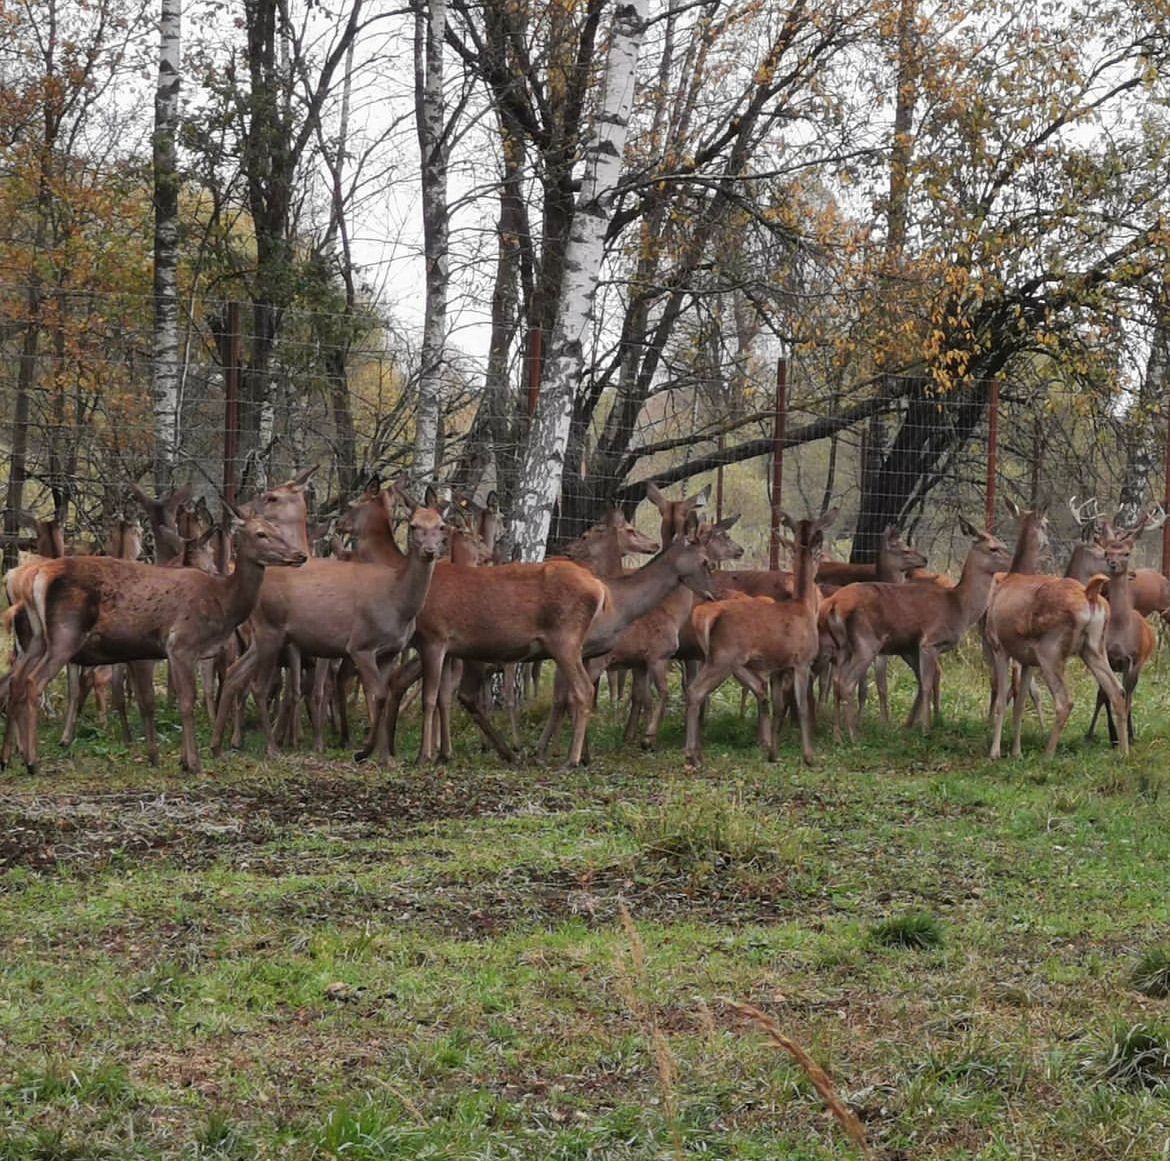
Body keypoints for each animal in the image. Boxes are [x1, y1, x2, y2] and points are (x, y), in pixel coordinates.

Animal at [0, 505, 306, 772]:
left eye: (277, 529)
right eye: (260, 534)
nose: (299, 555)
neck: (223, 603)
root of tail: (34, 577)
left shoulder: (158, 652)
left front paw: (179, 759)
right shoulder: (182, 644)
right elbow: (186, 701)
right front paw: (193, 764)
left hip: (37, 640)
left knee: (15, 681)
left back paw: (12, 757)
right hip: (66, 633)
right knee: (33, 682)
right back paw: (32, 761)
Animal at [208, 479, 449, 763]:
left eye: (442, 526)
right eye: (413, 526)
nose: (429, 551)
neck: (398, 603)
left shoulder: (390, 651)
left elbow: (385, 695)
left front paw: (385, 757)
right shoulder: (360, 645)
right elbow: (377, 694)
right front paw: (365, 752)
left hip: (263, 636)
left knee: (235, 672)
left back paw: (218, 744)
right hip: (270, 630)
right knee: (258, 684)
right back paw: (272, 747)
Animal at [683, 510, 837, 767]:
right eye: (818, 554)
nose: (822, 566)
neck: (804, 607)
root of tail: (708, 616)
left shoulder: (778, 667)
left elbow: (778, 706)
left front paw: (773, 753)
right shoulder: (802, 661)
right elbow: (802, 706)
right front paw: (809, 756)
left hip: (714, 657)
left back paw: (697, 752)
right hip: (724, 657)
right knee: (695, 690)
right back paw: (692, 755)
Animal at [823, 519, 1015, 744]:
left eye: (1002, 543)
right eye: (993, 548)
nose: (1012, 561)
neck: (959, 606)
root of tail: (834, 604)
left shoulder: (910, 647)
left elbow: (923, 683)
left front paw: (913, 725)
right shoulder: (929, 642)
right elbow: (926, 684)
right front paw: (925, 729)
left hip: (843, 647)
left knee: (837, 681)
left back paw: (837, 734)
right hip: (867, 642)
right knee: (846, 682)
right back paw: (854, 735)